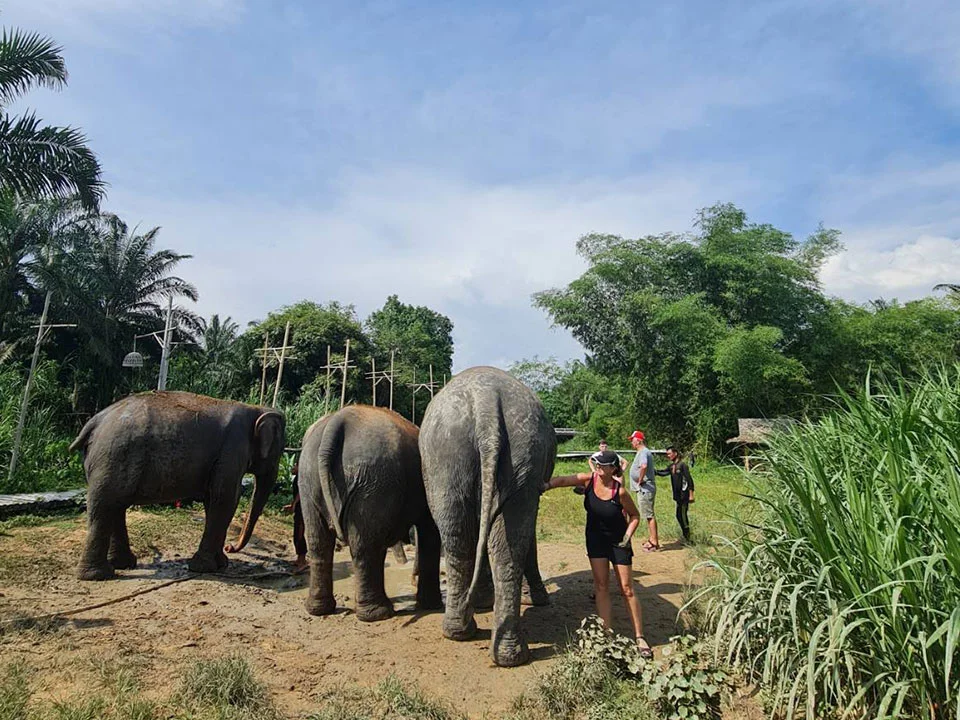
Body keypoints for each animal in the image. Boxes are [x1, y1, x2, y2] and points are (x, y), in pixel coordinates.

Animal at [69, 391, 285, 581]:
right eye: (280, 451)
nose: (230, 547)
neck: (255, 409)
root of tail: (95, 422)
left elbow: (213, 500)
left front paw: (221, 563)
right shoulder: (233, 450)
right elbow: (225, 498)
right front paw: (205, 568)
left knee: (115, 506)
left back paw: (122, 564)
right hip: (114, 457)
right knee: (105, 507)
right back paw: (98, 575)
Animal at [298, 405, 443, 622]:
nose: (412, 579)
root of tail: (339, 421)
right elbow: (430, 533)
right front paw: (432, 606)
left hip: (313, 479)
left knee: (319, 542)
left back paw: (319, 609)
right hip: (372, 482)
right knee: (366, 545)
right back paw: (379, 613)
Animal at [419, 366, 555, 667]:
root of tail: (486, 400)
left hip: (453, 454)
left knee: (463, 537)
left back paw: (471, 636)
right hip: (477, 452)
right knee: (499, 540)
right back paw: (500, 649)